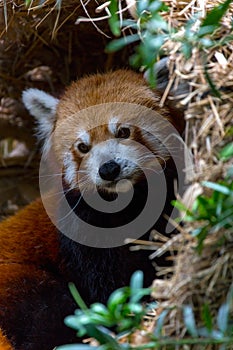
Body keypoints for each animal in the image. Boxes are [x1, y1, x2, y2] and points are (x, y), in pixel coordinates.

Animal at [0, 66, 186, 350]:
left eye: (123, 132)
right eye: (82, 147)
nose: (108, 169)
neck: (128, 205)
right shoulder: (81, 235)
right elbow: (104, 288)